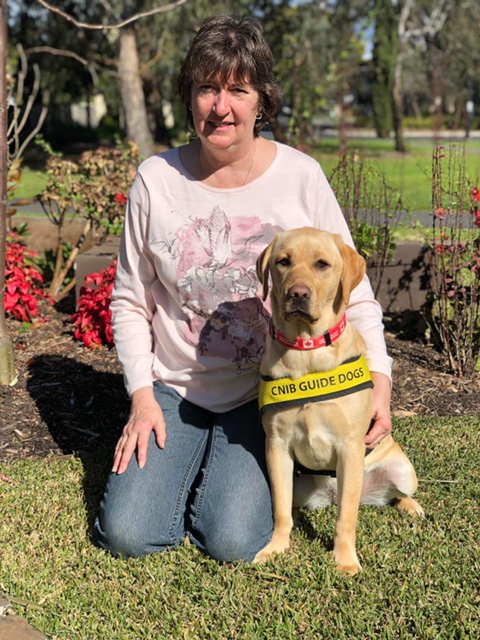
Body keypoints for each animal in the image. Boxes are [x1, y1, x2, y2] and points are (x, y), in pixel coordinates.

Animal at [253, 229, 422, 576]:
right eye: (283, 261)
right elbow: (280, 509)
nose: (297, 293)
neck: (306, 348)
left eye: (322, 264)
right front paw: (276, 548)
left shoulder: (350, 447)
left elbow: (346, 516)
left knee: (395, 495)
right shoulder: (276, 445)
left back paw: (412, 507)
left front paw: (344, 560)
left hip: (401, 470)